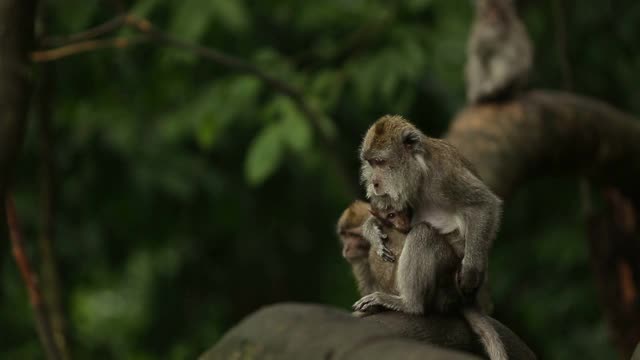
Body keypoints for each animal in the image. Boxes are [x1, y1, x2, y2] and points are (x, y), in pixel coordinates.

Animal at [358, 114, 502, 314]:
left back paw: (409, 304)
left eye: (380, 162)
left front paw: (471, 271)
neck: (420, 170)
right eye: (371, 163)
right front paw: (372, 230)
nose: (374, 183)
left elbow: (484, 203)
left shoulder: (444, 174)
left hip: (447, 281)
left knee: (423, 234)